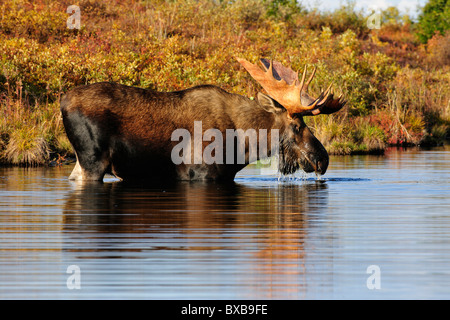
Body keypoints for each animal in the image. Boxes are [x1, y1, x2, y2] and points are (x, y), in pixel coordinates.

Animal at [59, 57, 346, 181]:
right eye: (297, 126)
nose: (323, 159)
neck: (242, 147)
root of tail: (62, 100)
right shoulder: (201, 174)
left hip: (81, 161)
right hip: (93, 160)